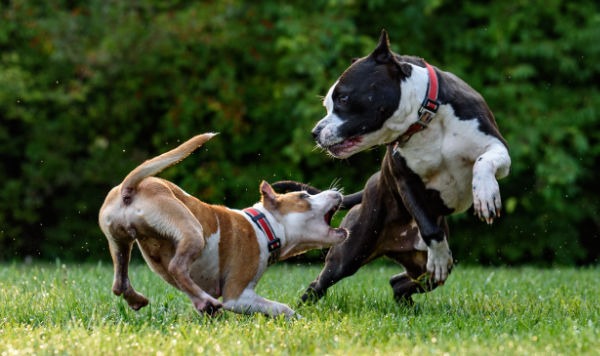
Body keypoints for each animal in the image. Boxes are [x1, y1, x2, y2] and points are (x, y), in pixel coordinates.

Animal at [98, 133, 346, 318]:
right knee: (177, 267)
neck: (264, 226)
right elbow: (281, 308)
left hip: (120, 242)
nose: (337, 192)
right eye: (304, 196)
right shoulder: (238, 296)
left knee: (119, 282)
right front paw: (298, 320)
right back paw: (205, 300)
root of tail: (129, 188)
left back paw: (143, 299)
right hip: (191, 230)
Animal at [274, 29, 508, 304]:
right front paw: (439, 255)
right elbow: (429, 228)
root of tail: (370, 185)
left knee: (401, 282)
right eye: (327, 105)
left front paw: (486, 195)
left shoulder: (497, 146)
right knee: (320, 283)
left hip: (419, 267)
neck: (424, 118)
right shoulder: (405, 180)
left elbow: (484, 161)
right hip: (350, 252)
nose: (315, 132)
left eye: (343, 97)